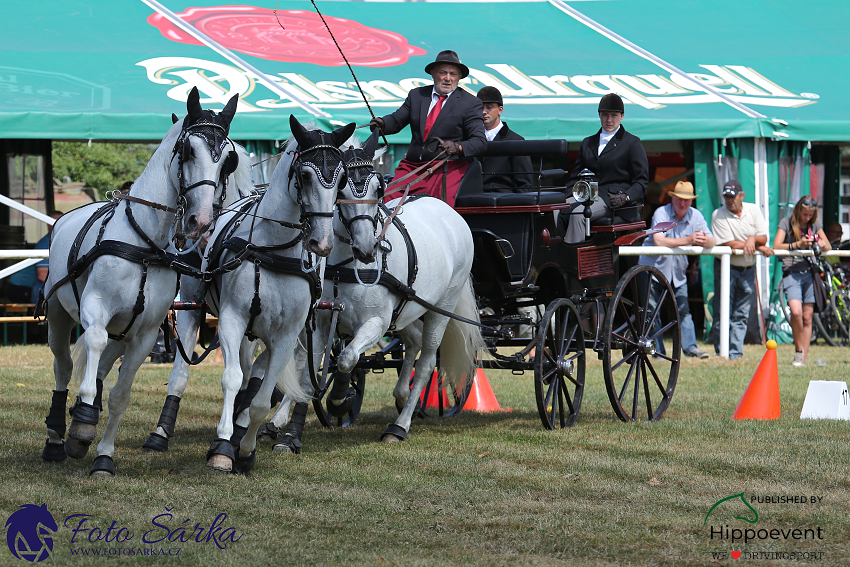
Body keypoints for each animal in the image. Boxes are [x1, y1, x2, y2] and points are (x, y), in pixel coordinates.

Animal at [44, 89, 242, 478]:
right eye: (188, 150)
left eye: (228, 160)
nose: (200, 221)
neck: (145, 242)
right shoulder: (96, 310)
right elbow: (92, 347)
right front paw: (83, 420)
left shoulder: (145, 333)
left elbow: (120, 396)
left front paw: (103, 456)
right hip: (59, 315)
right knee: (64, 366)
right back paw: (58, 436)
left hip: (123, 332)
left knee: (102, 366)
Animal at [200, 116, 366, 474]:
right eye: (304, 175)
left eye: (341, 180)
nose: (321, 243)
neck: (273, 251)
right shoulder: (233, 319)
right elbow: (232, 378)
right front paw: (223, 446)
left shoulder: (288, 335)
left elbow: (263, 399)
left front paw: (246, 450)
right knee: (244, 371)